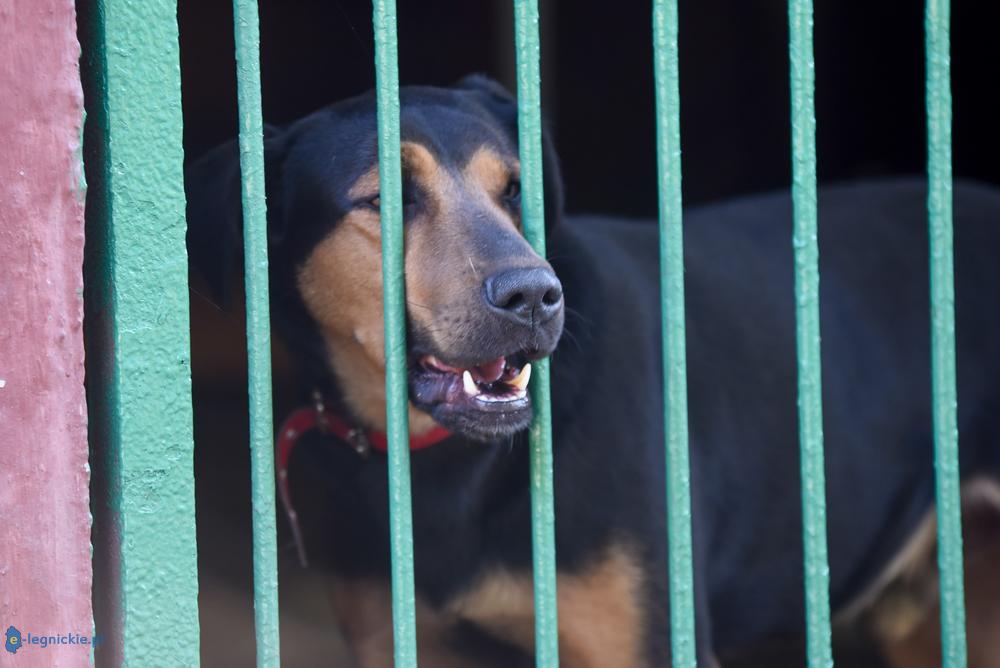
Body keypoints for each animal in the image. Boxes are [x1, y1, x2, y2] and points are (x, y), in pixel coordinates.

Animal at [184, 75, 1000, 664]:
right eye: (385, 201)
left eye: (515, 188)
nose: (535, 296)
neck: (449, 463)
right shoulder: (394, 639)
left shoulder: (644, 640)